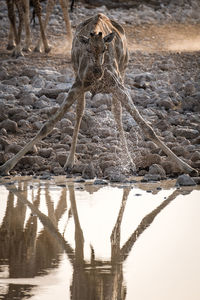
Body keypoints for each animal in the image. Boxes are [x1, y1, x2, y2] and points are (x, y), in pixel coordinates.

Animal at [0, 13, 197, 176]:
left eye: (104, 50)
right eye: (88, 50)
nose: (97, 71)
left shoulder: (117, 85)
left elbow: (147, 127)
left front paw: (188, 167)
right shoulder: (78, 84)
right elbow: (47, 125)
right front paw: (6, 166)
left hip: (123, 73)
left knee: (117, 114)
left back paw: (131, 162)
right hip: (79, 78)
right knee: (80, 112)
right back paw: (70, 162)